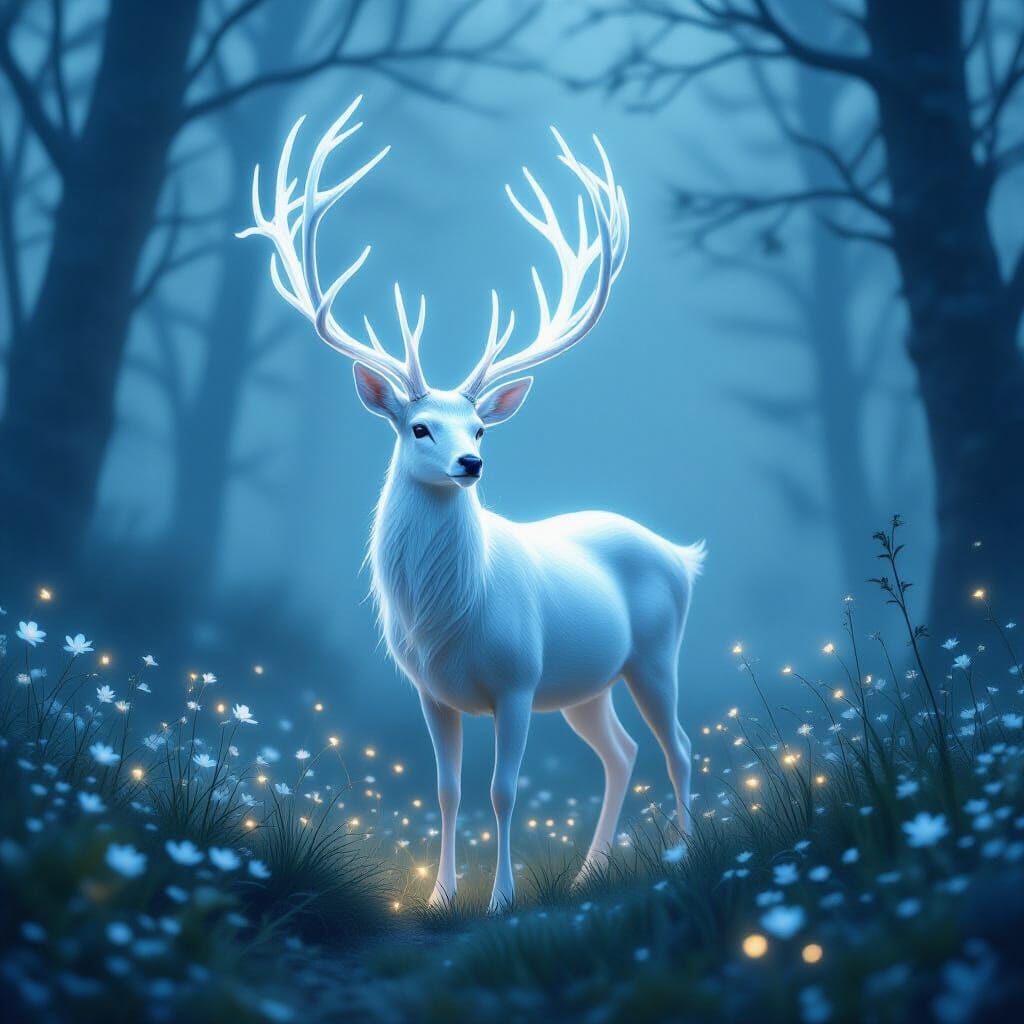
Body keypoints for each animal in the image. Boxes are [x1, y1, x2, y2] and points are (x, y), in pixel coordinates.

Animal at [239, 95, 705, 912]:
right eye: (419, 426)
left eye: (481, 426)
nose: (471, 463)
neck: (446, 622)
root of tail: (681, 555)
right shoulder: (431, 691)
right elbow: (449, 790)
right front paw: (439, 897)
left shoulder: (517, 678)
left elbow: (503, 791)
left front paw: (501, 900)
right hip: (585, 686)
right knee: (620, 753)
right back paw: (590, 871)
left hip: (654, 651)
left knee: (675, 746)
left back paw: (681, 854)